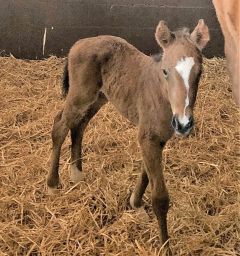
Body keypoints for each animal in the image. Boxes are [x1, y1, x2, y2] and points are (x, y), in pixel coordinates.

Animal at [47, 20, 209, 248]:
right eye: (165, 71)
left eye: (199, 72)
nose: (184, 123)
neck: (161, 94)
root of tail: (78, 43)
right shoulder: (148, 137)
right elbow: (160, 198)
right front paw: (165, 246)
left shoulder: (157, 139)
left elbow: (146, 172)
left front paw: (136, 204)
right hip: (81, 95)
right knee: (60, 126)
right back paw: (53, 184)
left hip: (99, 97)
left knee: (80, 125)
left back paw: (76, 174)